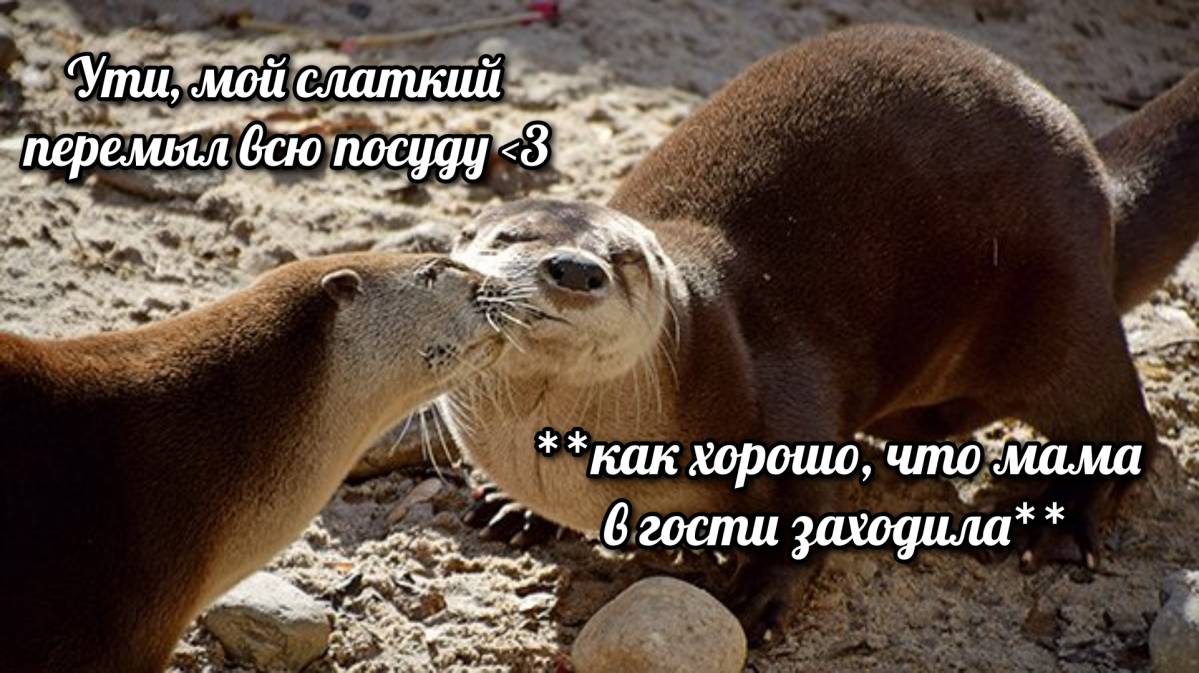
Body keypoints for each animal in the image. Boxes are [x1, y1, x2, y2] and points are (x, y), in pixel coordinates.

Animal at [443, 24, 1199, 641]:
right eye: (510, 237)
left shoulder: (777, 388)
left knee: (1122, 423)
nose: (575, 268)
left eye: (625, 258)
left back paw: (1063, 519)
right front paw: (515, 508)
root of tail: (1098, 184)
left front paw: (754, 598)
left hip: (1056, 306)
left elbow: (801, 512)